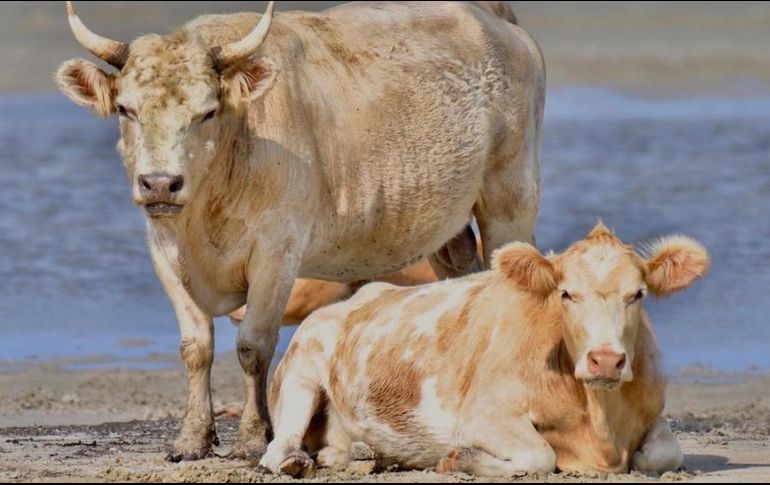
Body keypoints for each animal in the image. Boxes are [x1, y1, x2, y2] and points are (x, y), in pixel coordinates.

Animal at [56, 1, 544, 461]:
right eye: (126, 109)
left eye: (207, 112)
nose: (160, 183)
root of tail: (493, 19)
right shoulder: (164, 250)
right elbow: (196, 346)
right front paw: (192, 439)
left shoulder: (277, 251)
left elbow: (253, 346)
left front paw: (253, 438)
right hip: (448, 230)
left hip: (510, 200)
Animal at [261, 223, 709, 477]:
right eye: (566, 293)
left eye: (638, 294)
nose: (606, 360)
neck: (600, 427)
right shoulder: (482, 416)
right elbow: (540, 456)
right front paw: (461, 460)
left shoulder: (653, 415)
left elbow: (664, 454)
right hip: (300, 369)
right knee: (278, 447)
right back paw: (296, 461)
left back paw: (364, 455)